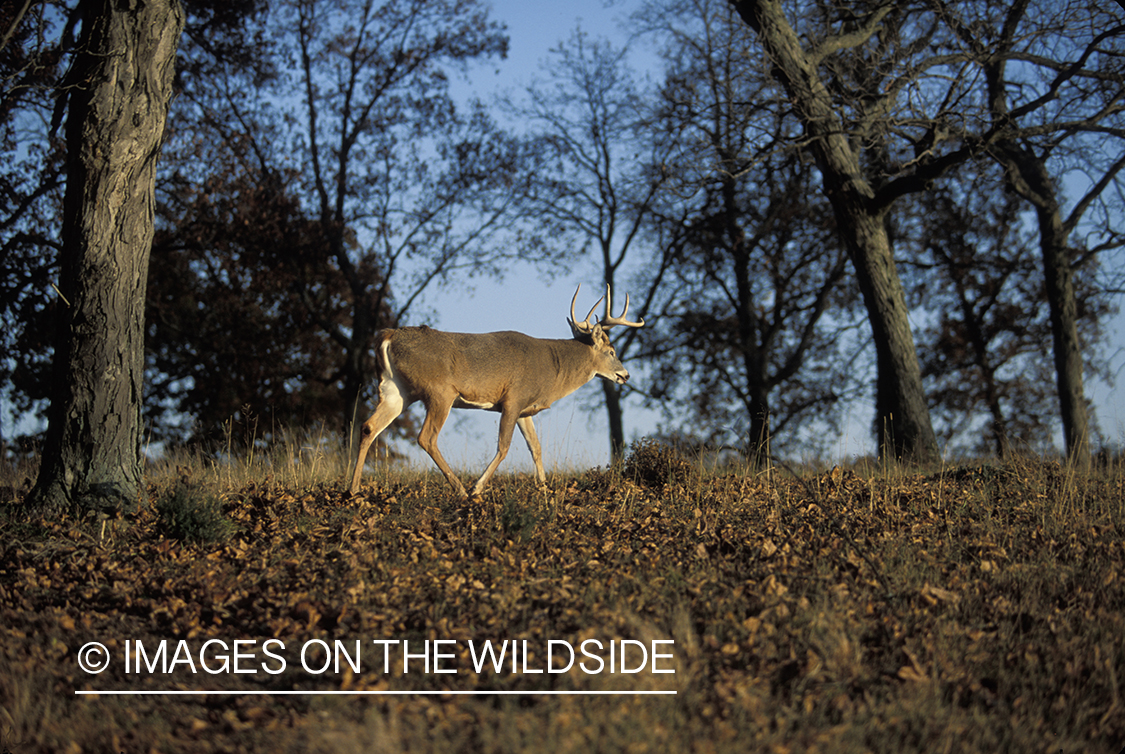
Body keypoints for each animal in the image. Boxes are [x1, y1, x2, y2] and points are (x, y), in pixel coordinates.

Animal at [346, 283, 648, 501]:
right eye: (612, 352)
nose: (625, 375)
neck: (552, 370)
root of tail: (388, 336)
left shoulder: (525, 408)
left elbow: (536, 447)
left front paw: (544, 487)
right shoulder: (513, 398)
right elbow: (504, 447)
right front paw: (478, 487)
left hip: (396, 390)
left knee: (369, 426)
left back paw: (354, 488)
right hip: (439, 392)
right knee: (426, 437)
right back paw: (460, 489)